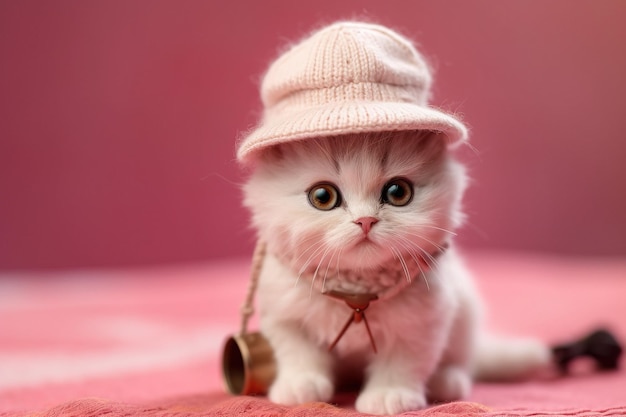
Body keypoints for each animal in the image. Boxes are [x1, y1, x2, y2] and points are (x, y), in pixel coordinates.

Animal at [241, 130, 544, 412]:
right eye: (322, 196)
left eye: (398, 192)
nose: (365, 220)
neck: (357, 289)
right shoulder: (283, 314)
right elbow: (297, 352)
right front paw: (300, 386)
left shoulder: (422, 322)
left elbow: (401, 363)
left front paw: (389, 397)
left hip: (466, 314)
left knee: (462, 362)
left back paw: (446, 382)